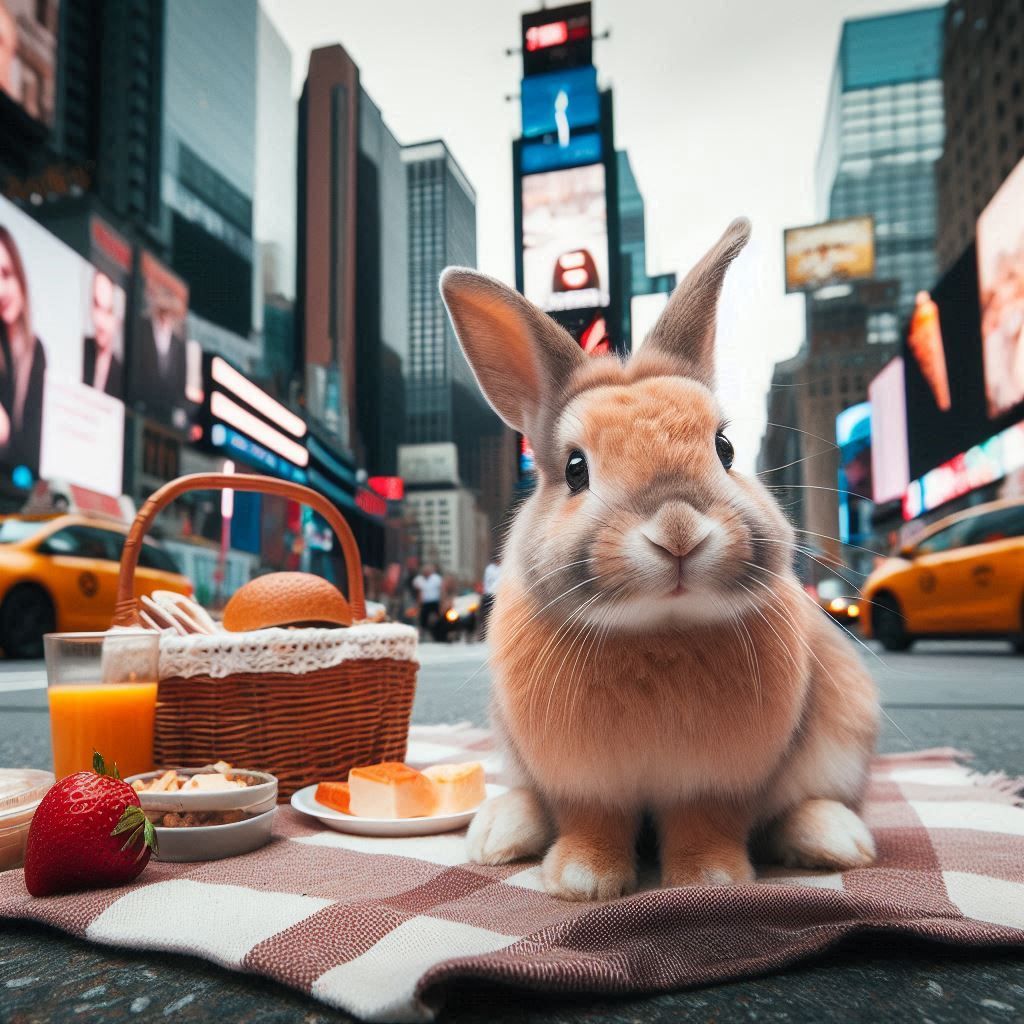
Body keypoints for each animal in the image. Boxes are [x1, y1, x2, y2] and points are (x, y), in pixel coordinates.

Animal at [440, 220, 880, 901]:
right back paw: (496, 834)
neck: (658, 632)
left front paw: (710, 880)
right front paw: (580, 880)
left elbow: (705, 823)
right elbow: (592, 821)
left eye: (725, 448)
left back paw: (838, 840)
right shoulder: (586, 784)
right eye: (575, 469)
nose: (678, 532)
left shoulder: (716, 785)